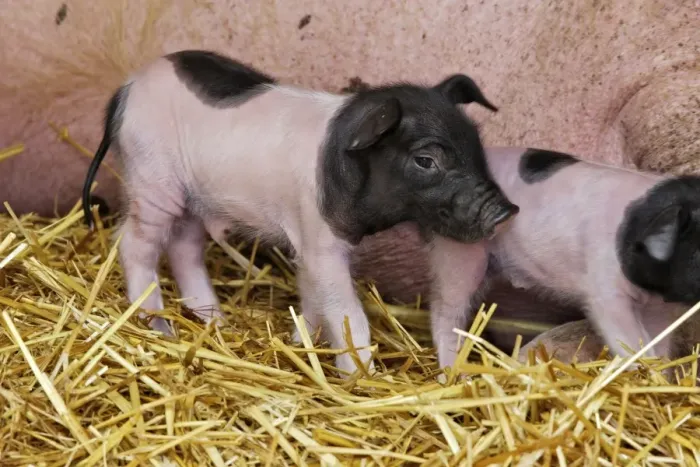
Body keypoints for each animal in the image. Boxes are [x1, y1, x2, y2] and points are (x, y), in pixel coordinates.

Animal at [81, 49, 519, 376]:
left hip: (193, 197)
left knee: (184, 248)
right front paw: (363, 377)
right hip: (152, 179)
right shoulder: (321, 240)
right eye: (426, 160)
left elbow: (312, 296)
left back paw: (216, 321)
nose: (506, 210)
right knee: (135, 244)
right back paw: (159, 327)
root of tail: (124, 91)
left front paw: (301, 343)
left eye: (476, 143)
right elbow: (346, 312)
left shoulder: (306, 241)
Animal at [431, 146, 700, 373]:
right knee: (445, 314)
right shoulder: (606, 291)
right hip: (457, 252)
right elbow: (629, 341)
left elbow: (659, 343)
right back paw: (453, 374)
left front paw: (660, 376)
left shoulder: (659, 308)